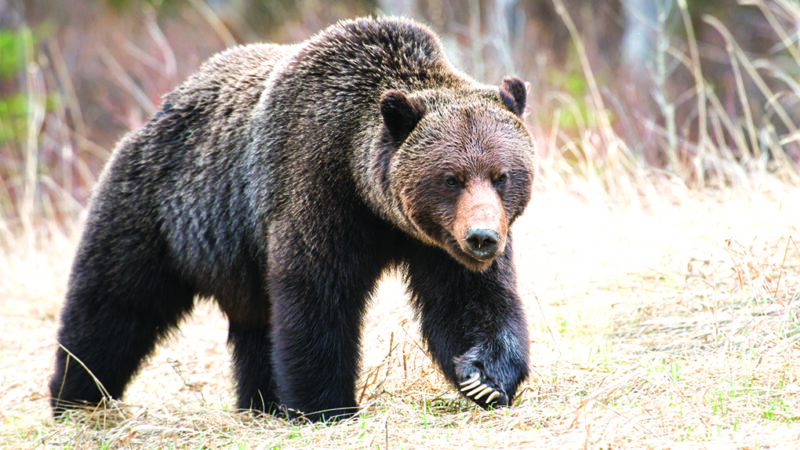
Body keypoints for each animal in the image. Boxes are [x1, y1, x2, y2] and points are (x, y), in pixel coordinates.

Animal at [51, 14, 536, 422]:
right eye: (451, 178)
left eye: (502, 175)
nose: (482, 238)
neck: (374, 203)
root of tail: (159, 110)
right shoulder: (316, 190)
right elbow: (315, 298)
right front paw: (327, 406)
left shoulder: (435, 242)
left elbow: (470, 301)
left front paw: (485, 379)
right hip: (160, 211)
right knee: (113, 305)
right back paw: (74, 398)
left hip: (237, 260)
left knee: (254, 326)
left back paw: (260, 402)